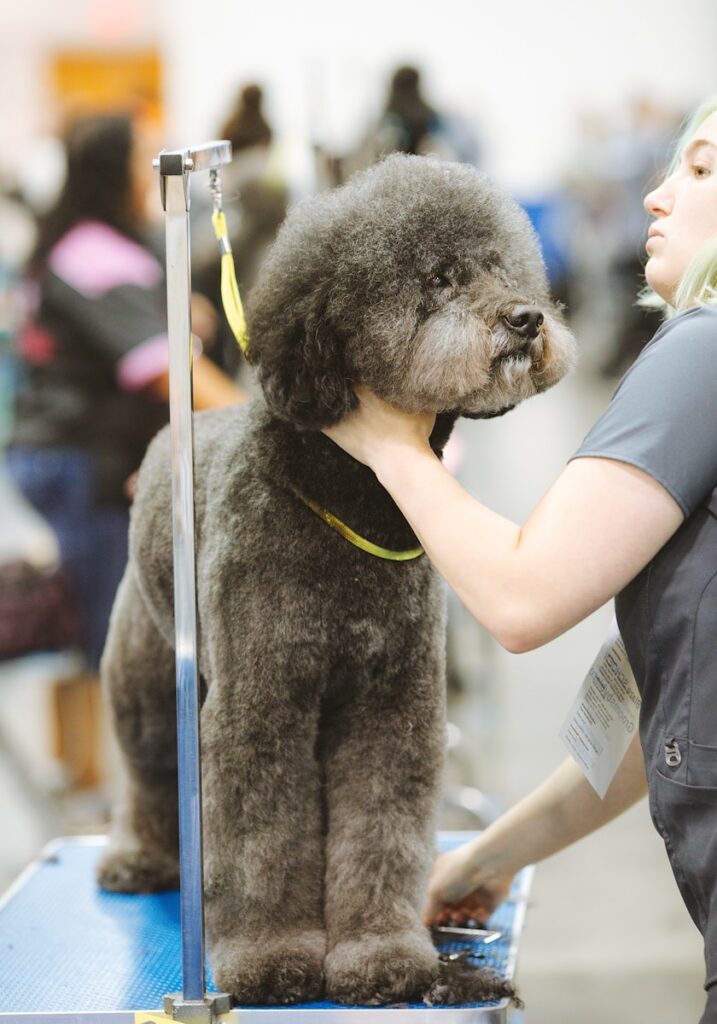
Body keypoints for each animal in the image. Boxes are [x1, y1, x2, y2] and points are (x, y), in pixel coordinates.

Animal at [96, 153, 577, 1007]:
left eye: (499, 267)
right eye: (439, 278)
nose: (525, 319)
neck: (353, 497)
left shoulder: (390, 710)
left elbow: (379, 834)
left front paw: (381, 954)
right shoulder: (260, 708)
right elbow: (260, 842)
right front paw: (269, 957)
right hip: (150, 685)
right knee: (151, 779)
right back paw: (140, 860)